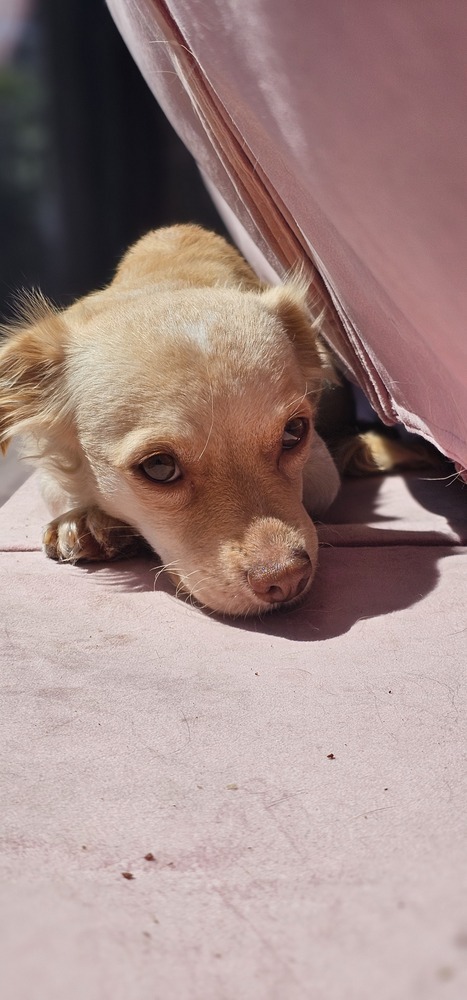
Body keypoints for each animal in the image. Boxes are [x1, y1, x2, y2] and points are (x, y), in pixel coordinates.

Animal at [0, 225, 344, 616]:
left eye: (294, 433)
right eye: (159, 466)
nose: (286, 579)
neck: (165, 281)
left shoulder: (322, 467)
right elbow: (57, 488)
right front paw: (88, 519)